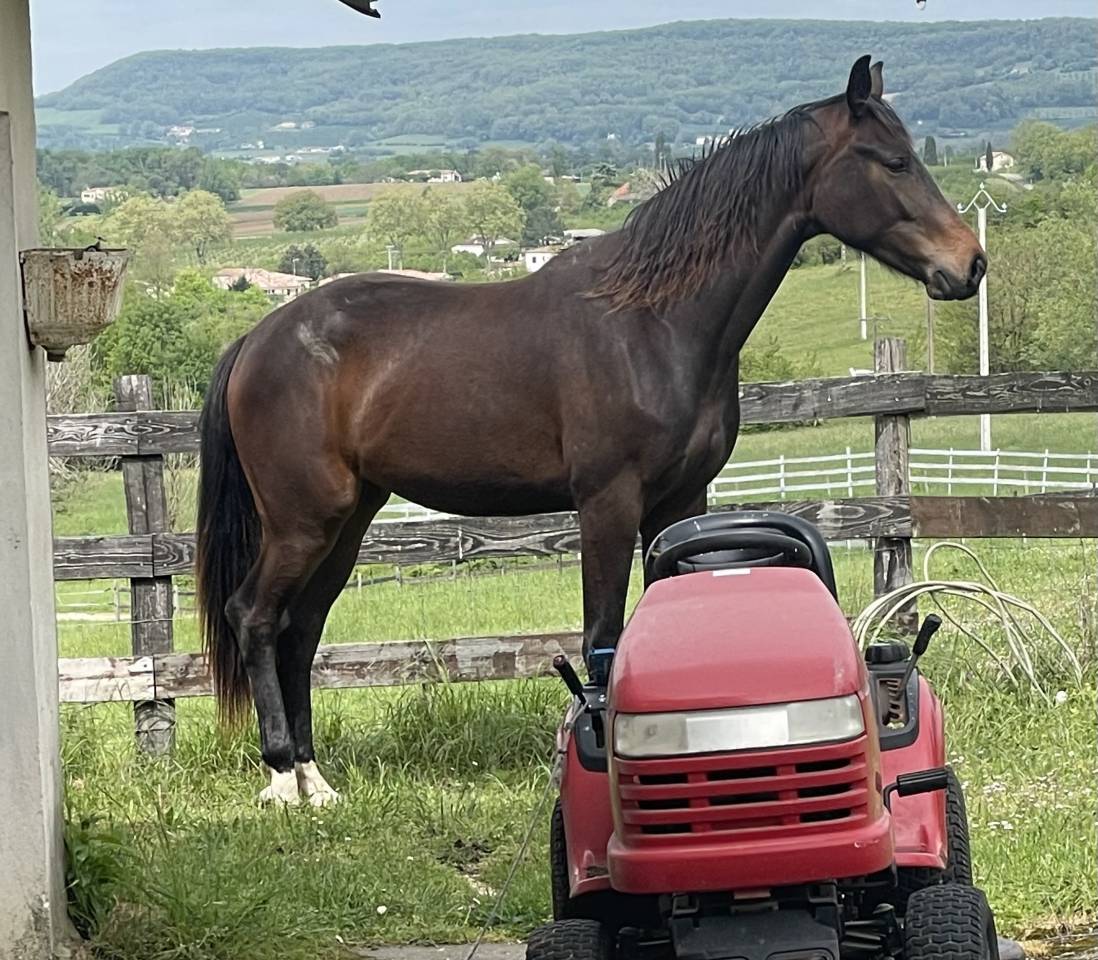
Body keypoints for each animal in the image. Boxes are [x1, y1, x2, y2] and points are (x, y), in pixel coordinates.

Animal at [196, 57, 986, 806]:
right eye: (893, 161)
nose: (969, 263)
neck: (652, 321)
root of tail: (256, 341)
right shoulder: (608, 501)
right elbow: (602, 634)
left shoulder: (681, 501)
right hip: (303, 521)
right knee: (255, 616)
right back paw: (280, 776)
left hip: (348, 520)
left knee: (301, 628)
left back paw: (314, 778)